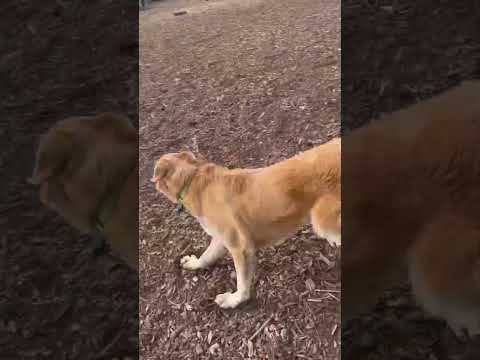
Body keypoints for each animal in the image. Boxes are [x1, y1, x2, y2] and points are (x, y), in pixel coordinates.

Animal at [151, 139, 342, 308]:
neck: (192, 179)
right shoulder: (220, 239)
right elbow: (207, 256)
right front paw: (193, 263)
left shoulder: (240, 247)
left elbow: (242, 284)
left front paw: (234, 300)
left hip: (322, 222)